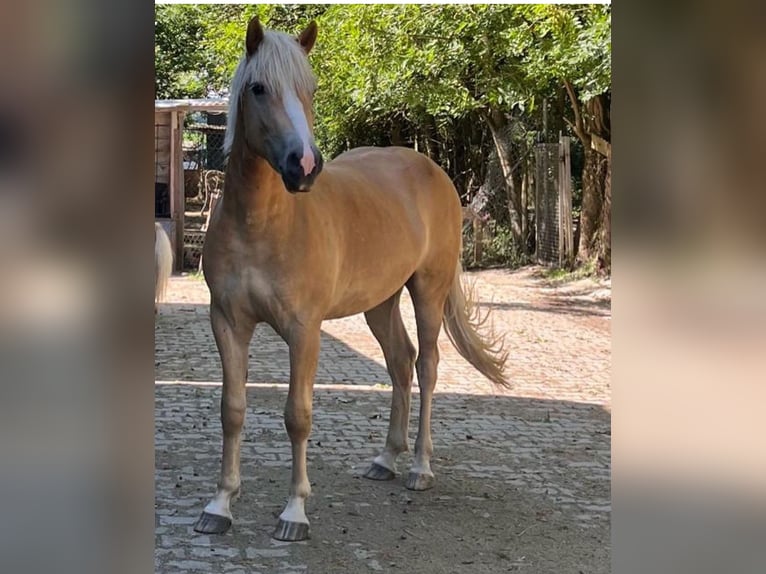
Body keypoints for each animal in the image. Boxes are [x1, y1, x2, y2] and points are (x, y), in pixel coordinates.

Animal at [196, 15, 510, 544]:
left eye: (311, 88)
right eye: (259, 88)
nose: (304, 166)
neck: (262, 224)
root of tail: (432, 170)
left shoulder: (304, 331)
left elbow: (298, 416)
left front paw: (294, 513)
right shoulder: (227, 323)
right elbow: (231, 410)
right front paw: (219, 505)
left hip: (428, 291)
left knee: (427, 366)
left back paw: (419, 468)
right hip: (380, 302)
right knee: (401, 362)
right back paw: (385, 459)